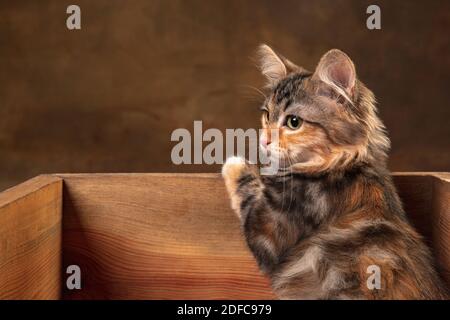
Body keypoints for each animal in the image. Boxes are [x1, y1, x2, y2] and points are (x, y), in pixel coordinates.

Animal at [221, 45, 446, 300]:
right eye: (267, 115)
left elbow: (248, 188)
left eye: (294, 122)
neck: (343, 165)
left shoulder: (270, 227)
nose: (263, 140)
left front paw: (234, 162)